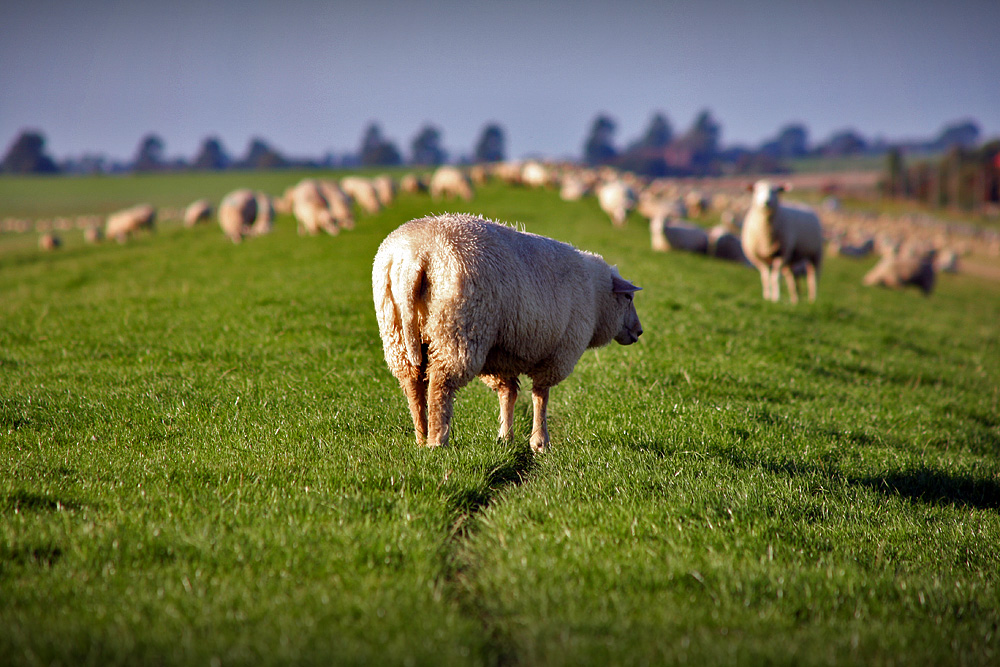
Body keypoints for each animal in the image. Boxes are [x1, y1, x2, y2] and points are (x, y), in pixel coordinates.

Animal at [372, 214, 644, 454]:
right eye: (628, 298)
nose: (639, 331)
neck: (597, 300)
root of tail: (414, 256)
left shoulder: (502, 355)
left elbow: (508, 394)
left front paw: (506, 438)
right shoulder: (558, 354)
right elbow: (540, 396)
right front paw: (540, 443)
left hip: (396, 331)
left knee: (412, 383)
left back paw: (421, 437)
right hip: (459, 330)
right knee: (441, 383)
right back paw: (438, 441)